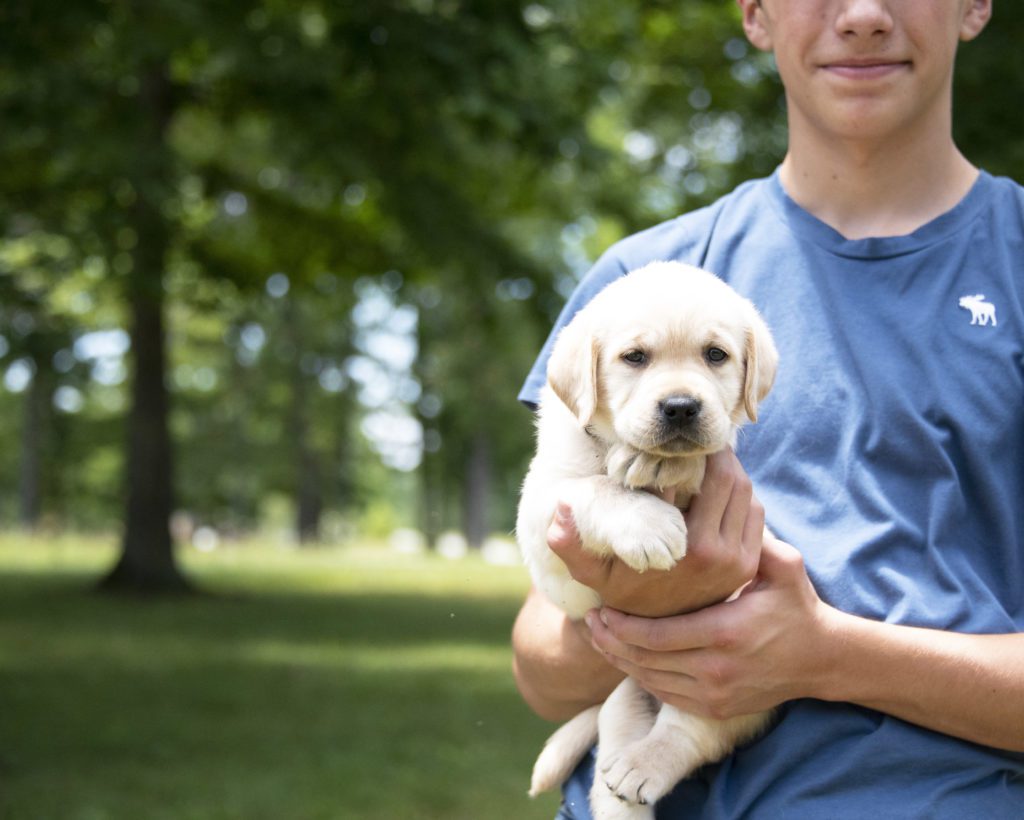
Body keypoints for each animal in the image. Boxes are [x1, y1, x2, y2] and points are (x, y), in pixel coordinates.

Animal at [520, 262, 774, 818]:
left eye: (715, 355)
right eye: (634, 357)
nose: (680, 407)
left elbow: (701, 455)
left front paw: (661, 465)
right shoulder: (539, 509)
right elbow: (592, 486)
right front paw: (648, 522)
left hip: (728, 676)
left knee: (691, 733)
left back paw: (647, 764)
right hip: (626, 699)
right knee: (610, 773)